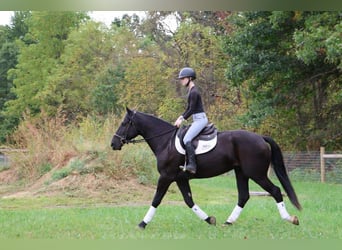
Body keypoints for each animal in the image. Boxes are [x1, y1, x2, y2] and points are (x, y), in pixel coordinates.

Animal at [111, 107, 300, 229]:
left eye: (124, 123)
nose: (113, 144)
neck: (165, 142)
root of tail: (260, 137)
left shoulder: (166, 176)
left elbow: (156, 200)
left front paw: (142, 223)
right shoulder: (180, 178)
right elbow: (189, 201)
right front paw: (210, 220)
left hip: (257, 174)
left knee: (275, 191)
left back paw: (290, 219)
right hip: (241, 173)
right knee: (244, 196)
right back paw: (228, 222)